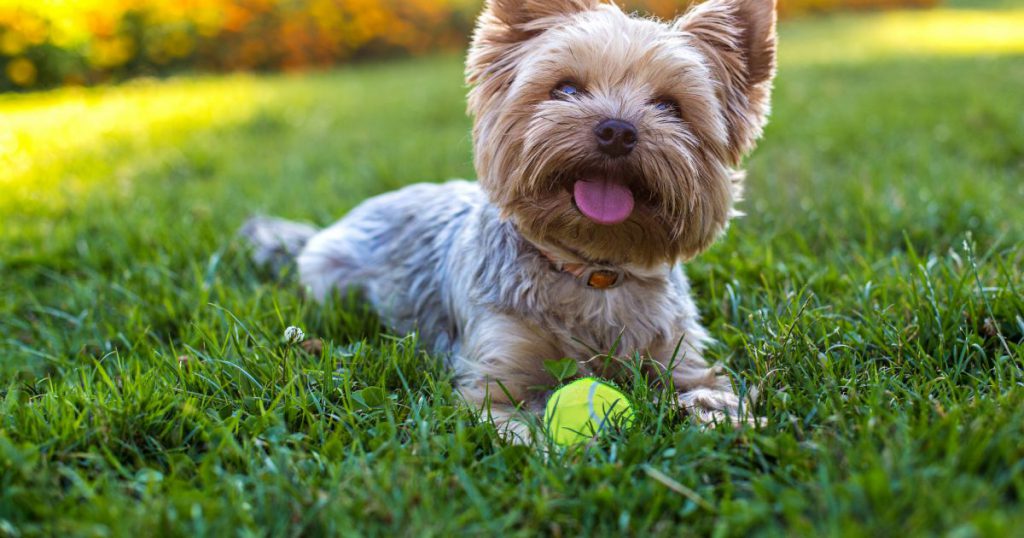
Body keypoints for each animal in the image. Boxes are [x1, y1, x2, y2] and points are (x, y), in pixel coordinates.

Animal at [243, 0, 774, 440]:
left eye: (669, 106)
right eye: (566, 88)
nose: (618, 130)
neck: (593, 271)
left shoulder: (679, 355)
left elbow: (708, 387)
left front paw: (724, 419)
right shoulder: (496, 377)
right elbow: (520, 424)